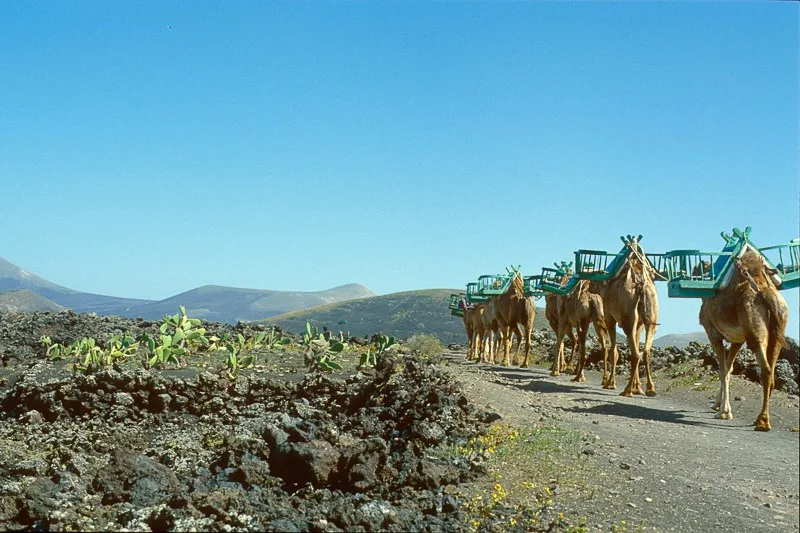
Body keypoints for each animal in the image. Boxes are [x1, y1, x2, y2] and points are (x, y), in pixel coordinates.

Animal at [592, 238, 660, 394]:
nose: (588, 287)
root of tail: (641, 285)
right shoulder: (639, 323)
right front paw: (638, 387)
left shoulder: (610, 318)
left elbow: (614, 352)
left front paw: (610, 384)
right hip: (651, 314)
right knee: (645, 351)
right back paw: (650, 388)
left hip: (628, 318)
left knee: (635, 354)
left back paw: (627, 390)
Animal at [700, 247, 788, 430]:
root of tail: (765, 293)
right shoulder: (737, 340)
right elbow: (729, 368)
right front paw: (719, 406)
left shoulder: (713, 335)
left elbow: (723, 370)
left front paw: (723, 412)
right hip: (778, 333)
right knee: (772, 370)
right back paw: (759, 418)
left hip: (755, 332)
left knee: (766, 370)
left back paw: (762, 422)